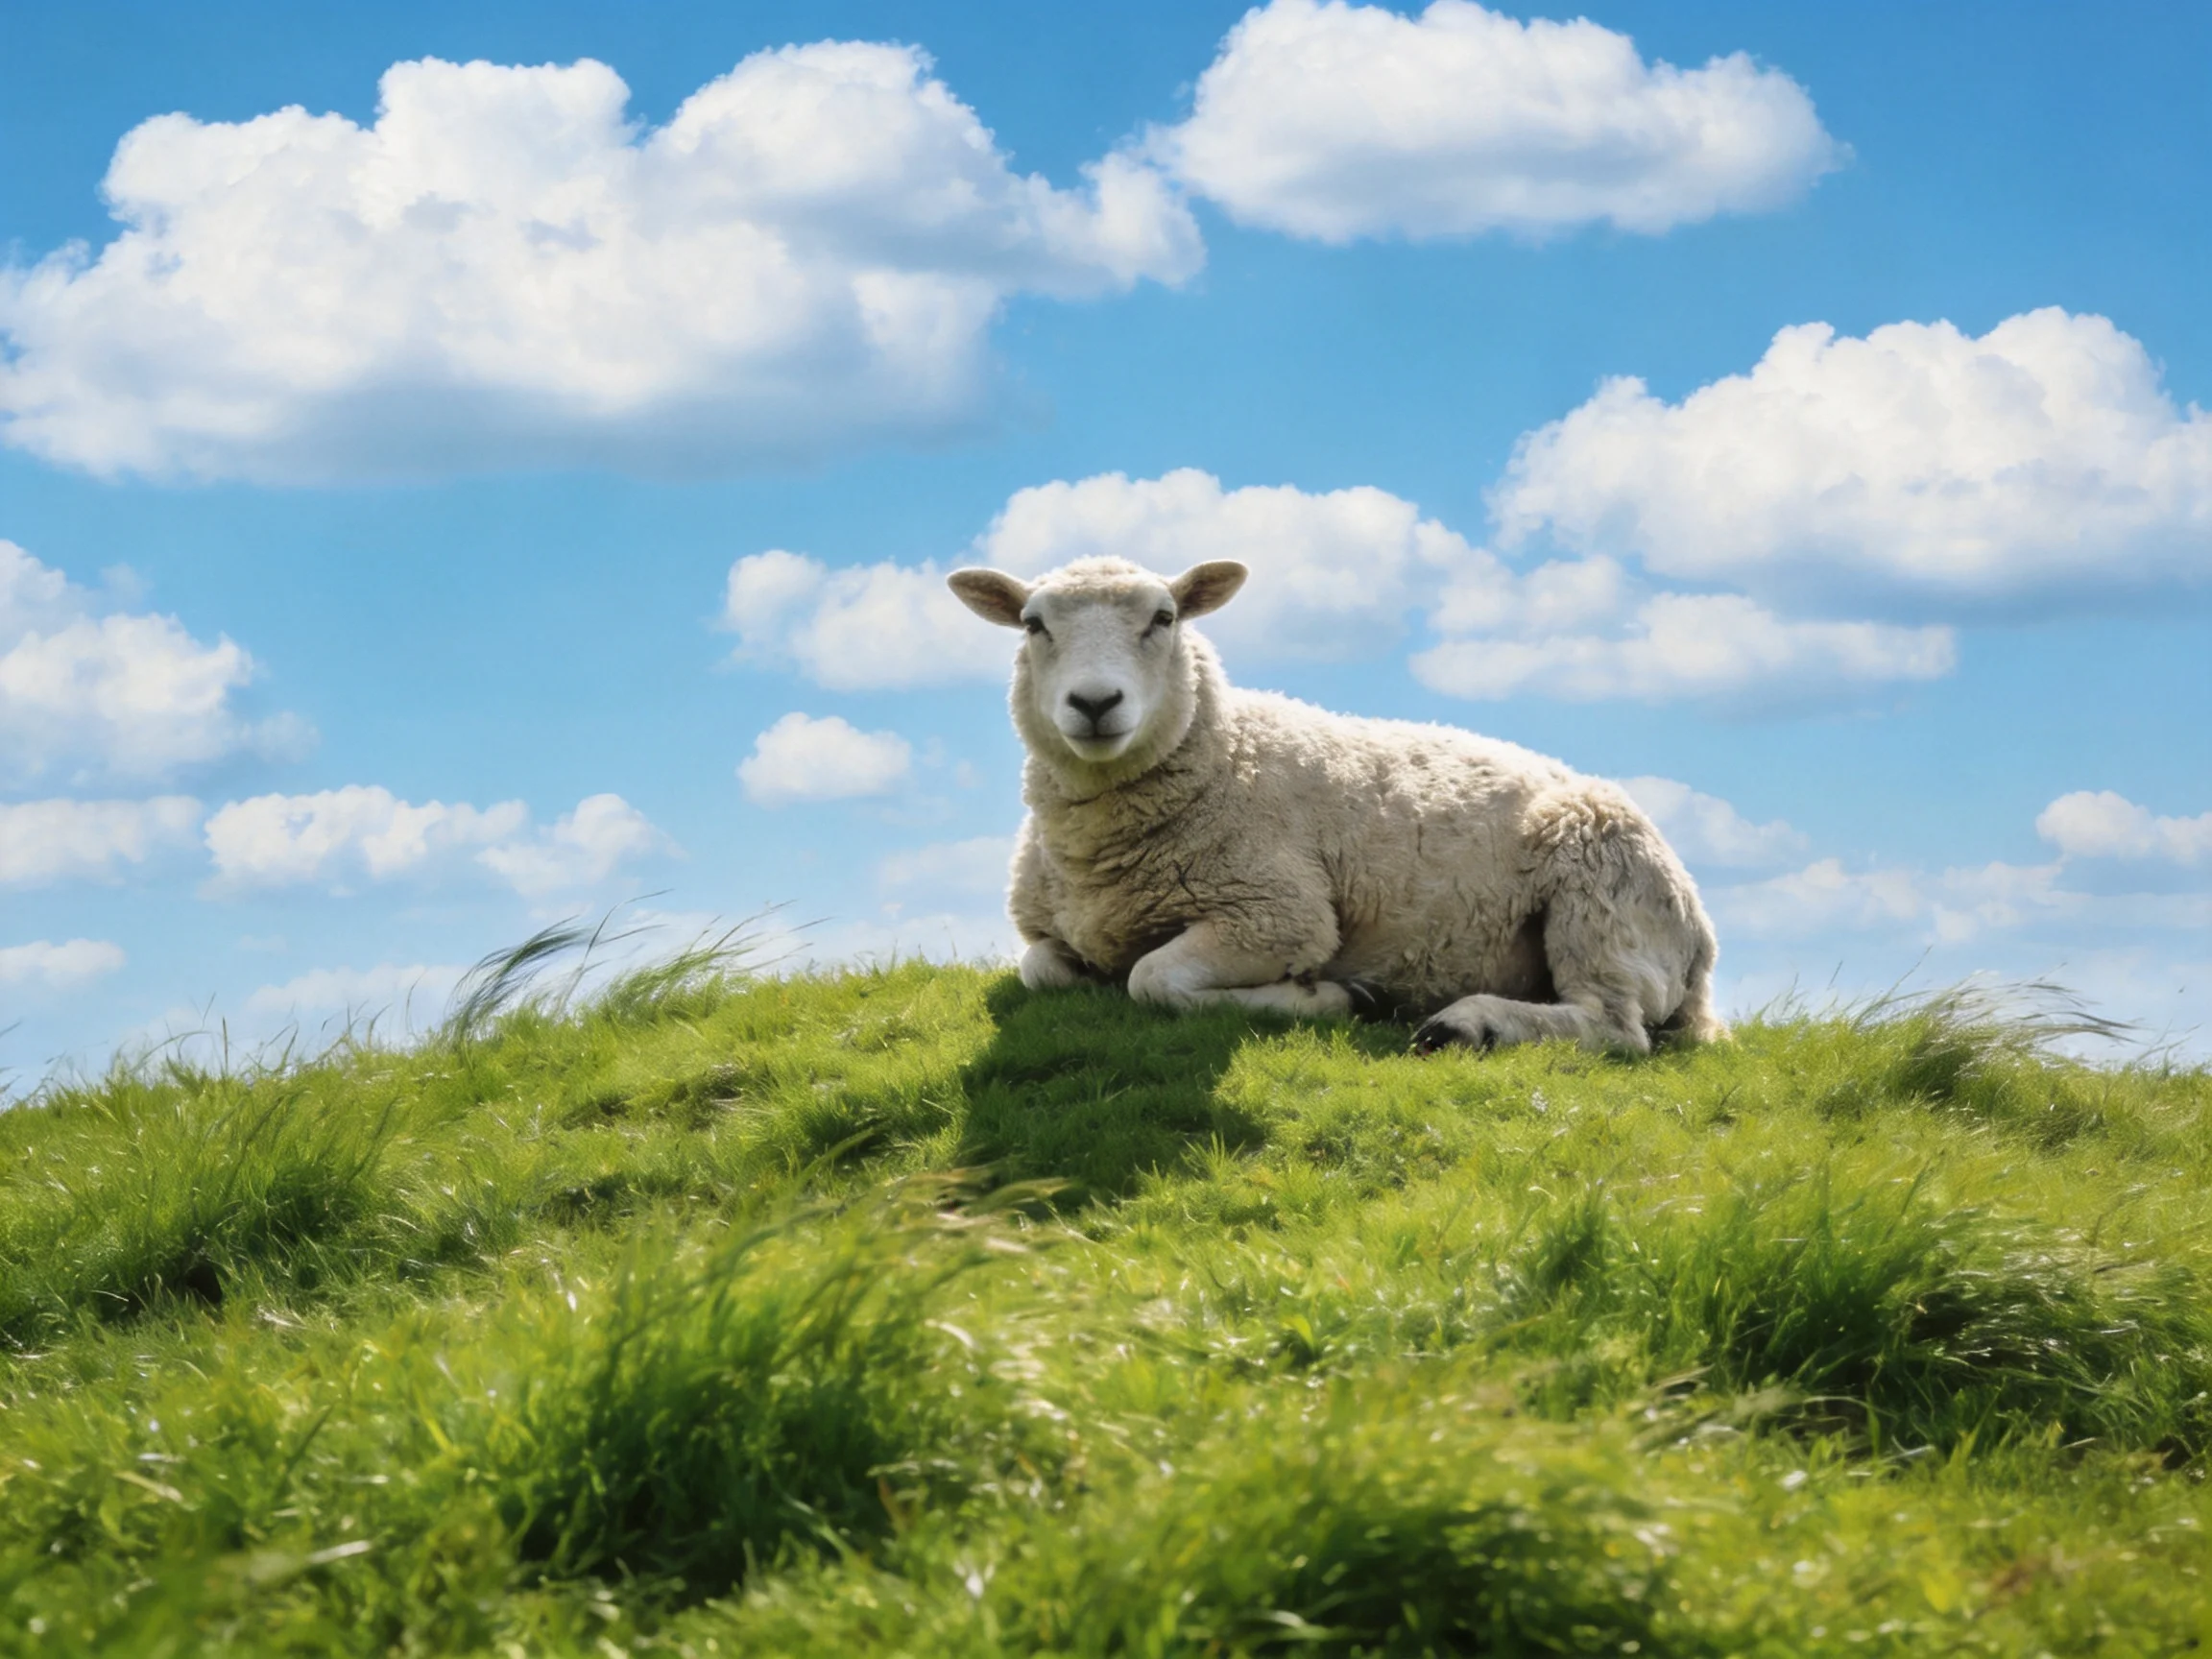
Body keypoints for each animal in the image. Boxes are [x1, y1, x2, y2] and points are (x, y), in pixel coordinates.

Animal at [945, 555, 1728, 1054]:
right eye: (1032, 624)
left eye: (1164, 617)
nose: (1095, 703)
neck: (1227, 752)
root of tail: (1700, 950)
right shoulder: (1051, 932)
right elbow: (1040, 970)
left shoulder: (1276, 916)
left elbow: (1152, 980)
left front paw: (1334, 999)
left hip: (1600, 896)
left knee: (1615, 1026)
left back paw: (1465, 1025)